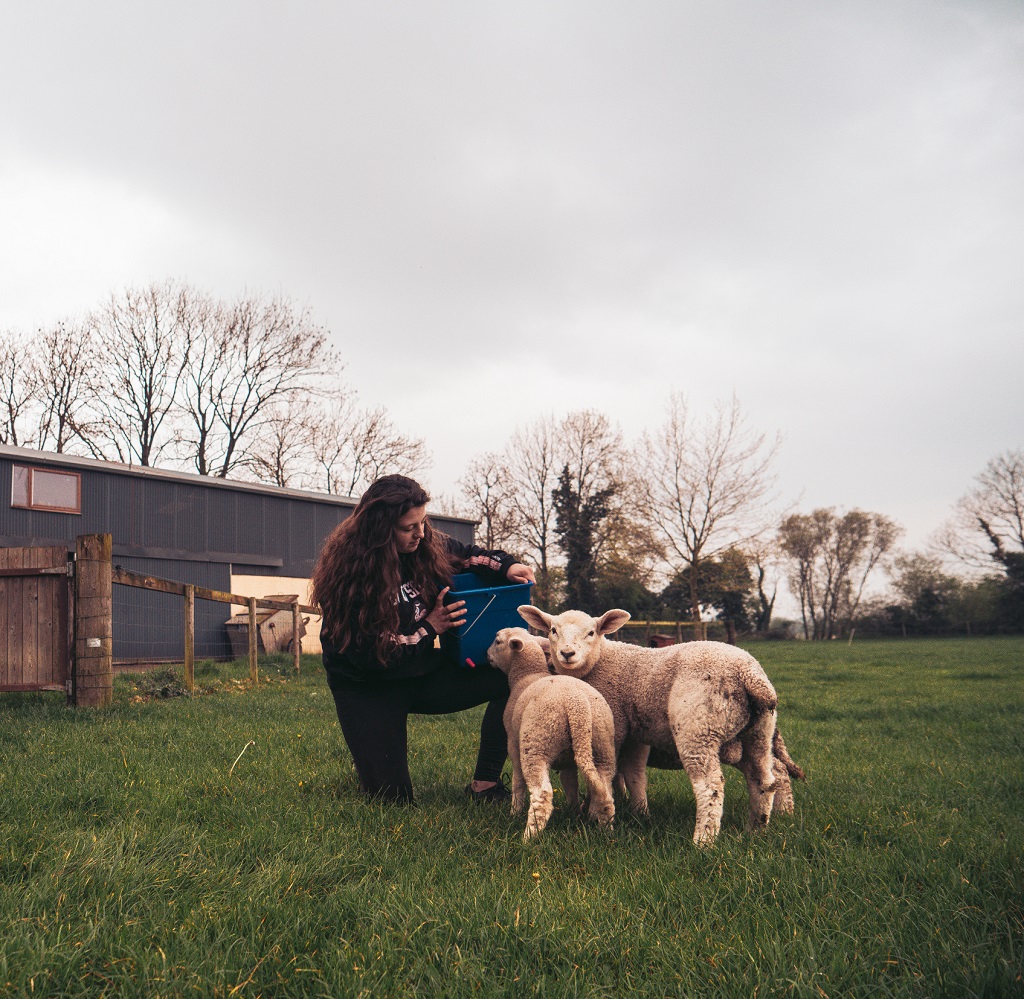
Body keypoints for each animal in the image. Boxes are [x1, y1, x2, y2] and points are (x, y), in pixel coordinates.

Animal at [487, 626, 614, 839]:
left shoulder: (513, 743)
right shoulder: (568, 760)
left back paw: (529, 837)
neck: (527, 674)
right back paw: (606, 830)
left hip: (536, 743)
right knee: (605, 791)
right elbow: (570, 783)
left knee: (542, 795)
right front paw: (573, 812)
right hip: (602, 746)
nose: (486, 655)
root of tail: (577, 703)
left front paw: (514, 812)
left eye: (497, 641)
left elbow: (518, 781)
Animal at [520, 605, 798, 847]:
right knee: (765, 778)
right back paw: (757, 829)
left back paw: (703, 841)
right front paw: (635, 811)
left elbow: (604, 775)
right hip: (759, 732)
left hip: (699, 728)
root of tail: (750, 676)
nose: (567, 654)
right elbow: (631, 774)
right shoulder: (634, 734)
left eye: (591, 632)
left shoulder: (614, 728)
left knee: (711, 786)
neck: (599, 662)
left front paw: (593, 810)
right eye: (553, 630)